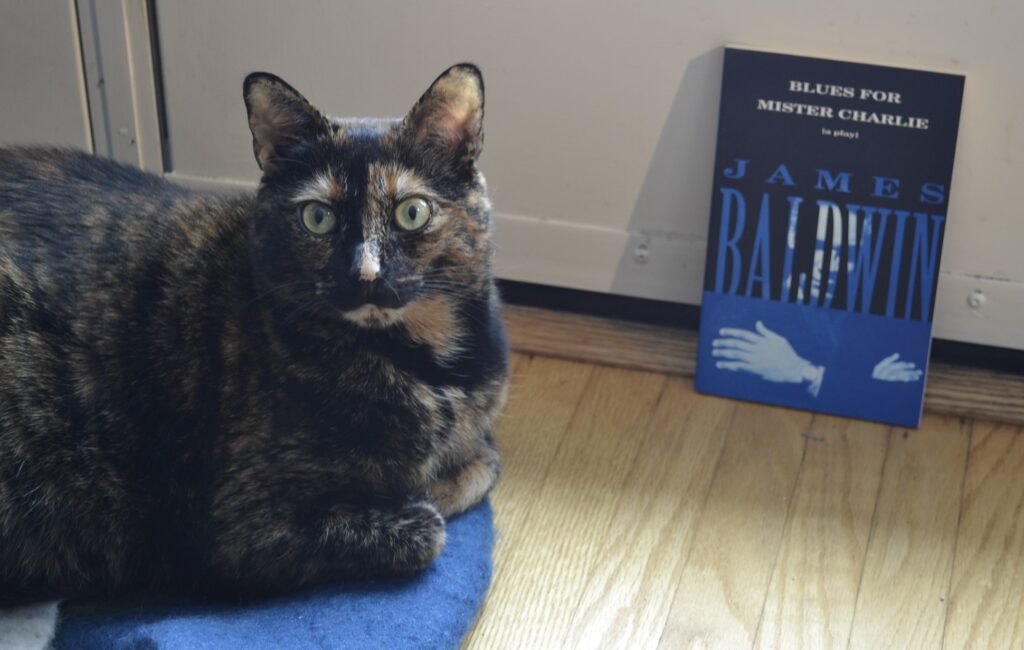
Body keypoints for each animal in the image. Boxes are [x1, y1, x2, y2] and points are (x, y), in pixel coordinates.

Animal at [0, 63, 509, 605]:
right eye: (317, 217)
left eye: (411, 212)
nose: (364, 275)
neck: (430, 368)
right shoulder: (241, 528)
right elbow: (431, 522)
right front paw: (407, 495)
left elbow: (486, 463)